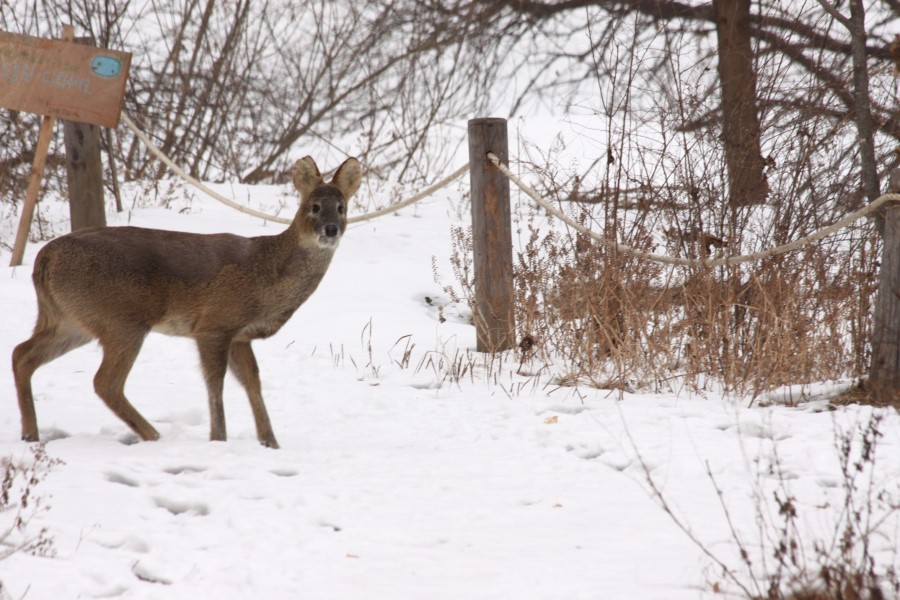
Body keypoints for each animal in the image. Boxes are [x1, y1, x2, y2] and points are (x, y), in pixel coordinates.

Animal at [12, 157, 360, 448]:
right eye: (314, 207)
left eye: (342, 208)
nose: (331, 228)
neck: (267, 276)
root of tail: (44, 258)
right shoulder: (214, 324)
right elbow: (215, 383)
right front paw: (218, 439)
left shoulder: (240, 335)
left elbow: (253, 382)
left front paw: (270, 443)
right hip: (121, 320)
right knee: (104, 382)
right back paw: (153, 435)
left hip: (70, 320)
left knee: (22, 354)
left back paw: (30, 433)